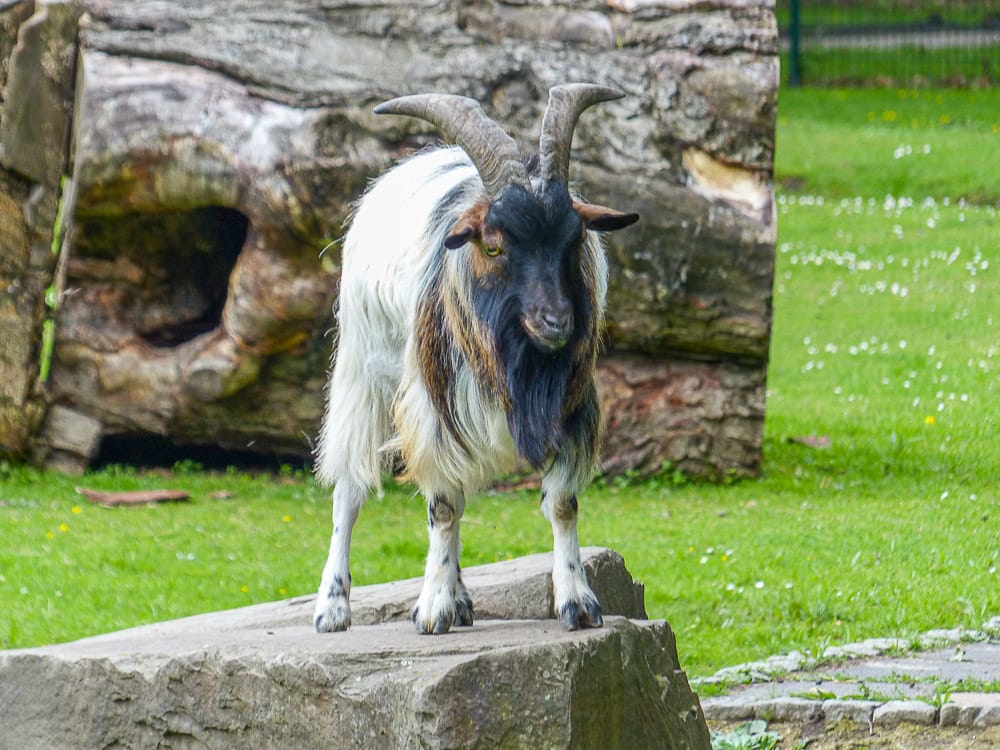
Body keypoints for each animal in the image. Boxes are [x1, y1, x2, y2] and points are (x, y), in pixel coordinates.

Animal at [314, 81, 640, 636]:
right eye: (492, 246)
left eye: (575, 239)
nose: (556, 321)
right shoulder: (434, 407)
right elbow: (443, 507)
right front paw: (433, 609)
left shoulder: (572, 407)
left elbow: (562, 503)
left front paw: (577, 602)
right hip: (362, 373)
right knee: (349, 491)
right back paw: (333, 608)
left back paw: (462, 598)